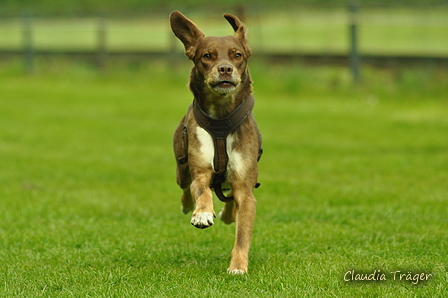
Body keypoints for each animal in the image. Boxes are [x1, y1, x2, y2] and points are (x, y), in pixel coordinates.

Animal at [172, 10, 262, 274]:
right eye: (207, 56)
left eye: (237, 55)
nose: (225, 69)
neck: (222, 117)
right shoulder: (200, 168)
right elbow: (201, 189)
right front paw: (202, 214)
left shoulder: (245, 185)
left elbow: (242, 233)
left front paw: (238, 267)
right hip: (181, 166)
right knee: (186, 187)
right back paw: (188, 206)